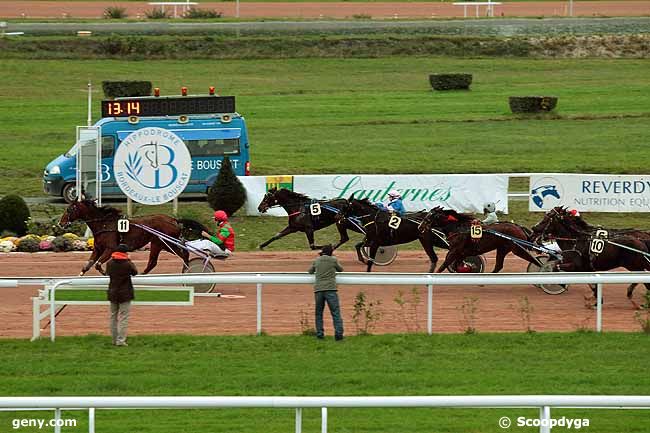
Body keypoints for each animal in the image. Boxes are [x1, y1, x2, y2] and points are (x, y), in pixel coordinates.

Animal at [59, 201, 204, 276]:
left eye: (69, 209)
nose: (61, 223)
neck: (104, 223)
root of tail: (173, 220)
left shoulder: (110, 248)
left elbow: (98, 265)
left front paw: (106, 273)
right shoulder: (98, 249)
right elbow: (87, 265)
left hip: (162, 242)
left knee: (178, 255)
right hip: (163, 244)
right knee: (173, 257)